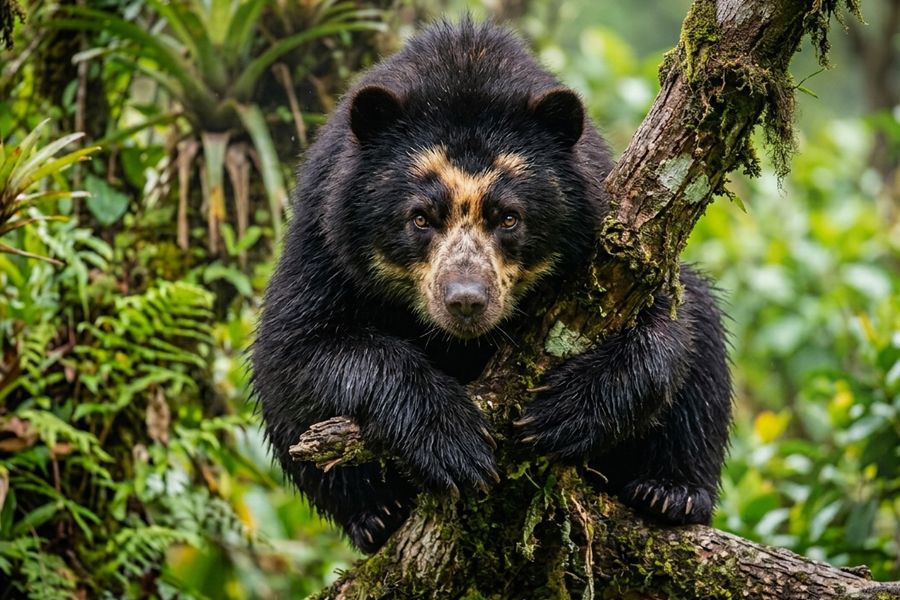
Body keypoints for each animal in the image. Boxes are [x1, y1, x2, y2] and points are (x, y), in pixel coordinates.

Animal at [251, 19, 732, 554]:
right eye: (420, 218)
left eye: (508, 218)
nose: (465, 301)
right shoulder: (324, 231)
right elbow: (299, 345)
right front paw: (451, 439)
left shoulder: (620, 229)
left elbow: (665, 325)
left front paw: (559, 412)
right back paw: (378, 515)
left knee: (703, 347)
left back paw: (668, 494)